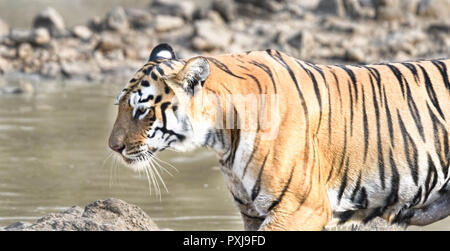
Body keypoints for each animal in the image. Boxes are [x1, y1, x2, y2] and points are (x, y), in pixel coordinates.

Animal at [109, 42, 450, 229]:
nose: (114, 147)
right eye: (120, 105)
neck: (222, 138)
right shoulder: (252, 213)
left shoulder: (301, 208)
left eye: (141, 110)